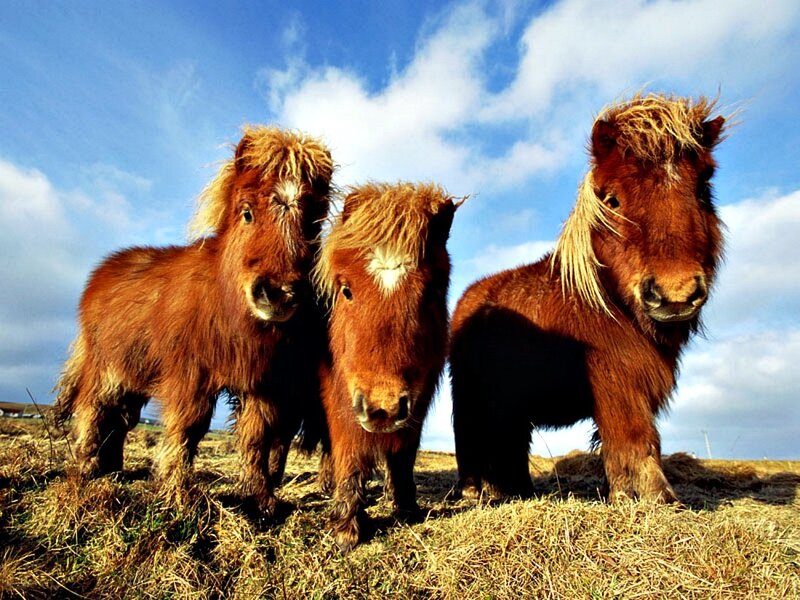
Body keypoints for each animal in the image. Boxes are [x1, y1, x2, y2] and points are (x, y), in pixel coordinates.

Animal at [54, 126, 333, 515]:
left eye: (313, 224)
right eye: (247, 213)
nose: (278, 293)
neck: (227, 306)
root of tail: (101, 272)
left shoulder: (263, 383)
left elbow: (258, 437)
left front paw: (260, 500)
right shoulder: (190, 375)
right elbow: (188, 429)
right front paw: (177, 495)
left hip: (134, 375)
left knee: (121, 419)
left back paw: (113, 471)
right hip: (106, 369)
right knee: (93, 411)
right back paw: (86, 470)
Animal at [311, 182, 458, 552]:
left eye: (432, 291)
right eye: (346, 290)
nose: (383, 409)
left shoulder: (417, 400)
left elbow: (403, 455)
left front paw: (406, 508)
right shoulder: (341, 397)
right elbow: (349, 452)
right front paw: (346, 527)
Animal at [450, 93, 726, 503]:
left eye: (703, 188)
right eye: (612, 200)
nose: (675, 294)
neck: (606, 303)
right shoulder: (616, 382)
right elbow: (635, 437)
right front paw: (654, 498)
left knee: (509, 443)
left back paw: (518, 491)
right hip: (471, 397)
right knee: (472, 439)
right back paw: (475, 492)